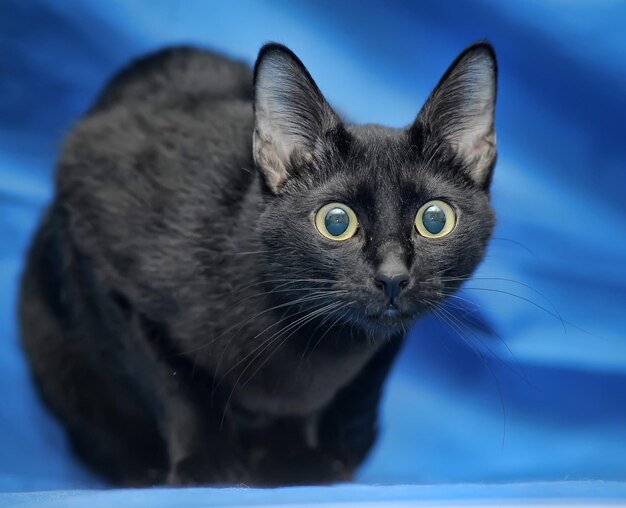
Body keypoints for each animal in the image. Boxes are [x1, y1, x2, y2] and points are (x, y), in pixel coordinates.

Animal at [19, 41, 494, 486]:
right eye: (336, 222)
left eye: (434, 220)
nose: (393, 276)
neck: (311, 338)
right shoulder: (99, 255)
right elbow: (172, 383)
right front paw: (207, 465)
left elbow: (308, 405)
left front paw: (293, 459)